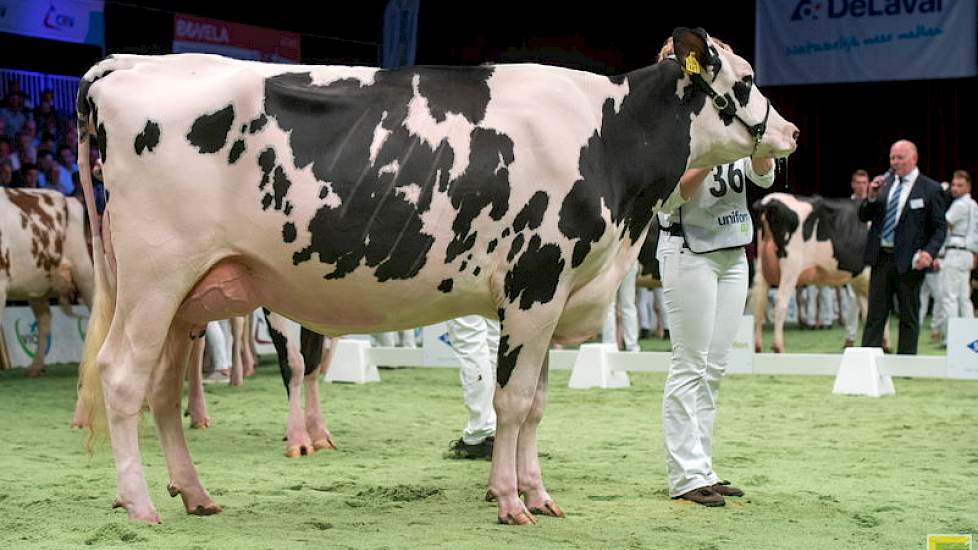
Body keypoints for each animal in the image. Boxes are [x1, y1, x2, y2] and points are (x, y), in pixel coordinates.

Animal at [74, 29, 792, 528]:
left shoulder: (551, 297)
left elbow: (535, 405)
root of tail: (131, 64)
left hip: (187, 298)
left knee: (162, 389)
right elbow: (510, 402)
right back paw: (140, 505)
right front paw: (510, 501)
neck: (607, 137)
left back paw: (195, 495)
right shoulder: (535, 283)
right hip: (153, 278)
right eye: (749, 79)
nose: (790, 131)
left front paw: (538, 494)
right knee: (122, 377)